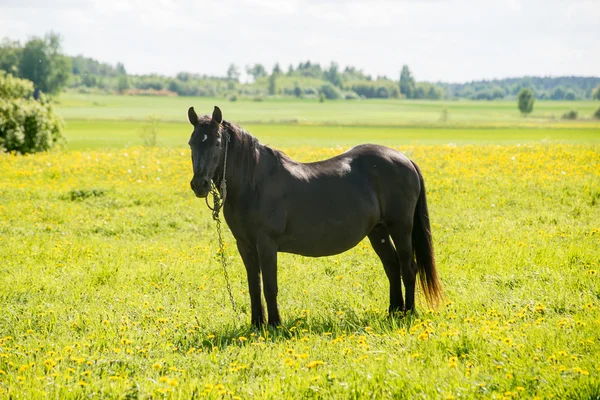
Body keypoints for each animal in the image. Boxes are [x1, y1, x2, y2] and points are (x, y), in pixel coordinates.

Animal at [188, 107, 440, 328]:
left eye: (217, 143)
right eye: (192, 143)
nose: (199, 185)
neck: (254, 183)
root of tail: (405, 160)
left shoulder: (267, 244)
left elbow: (270, 286)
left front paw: (274, 324)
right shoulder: (245, 246)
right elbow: (254, 286)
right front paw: (256, 325)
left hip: (400, 228)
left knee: (408, 267)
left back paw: (408, 313)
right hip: (377, 231)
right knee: (392, 266)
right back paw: (394, 312)